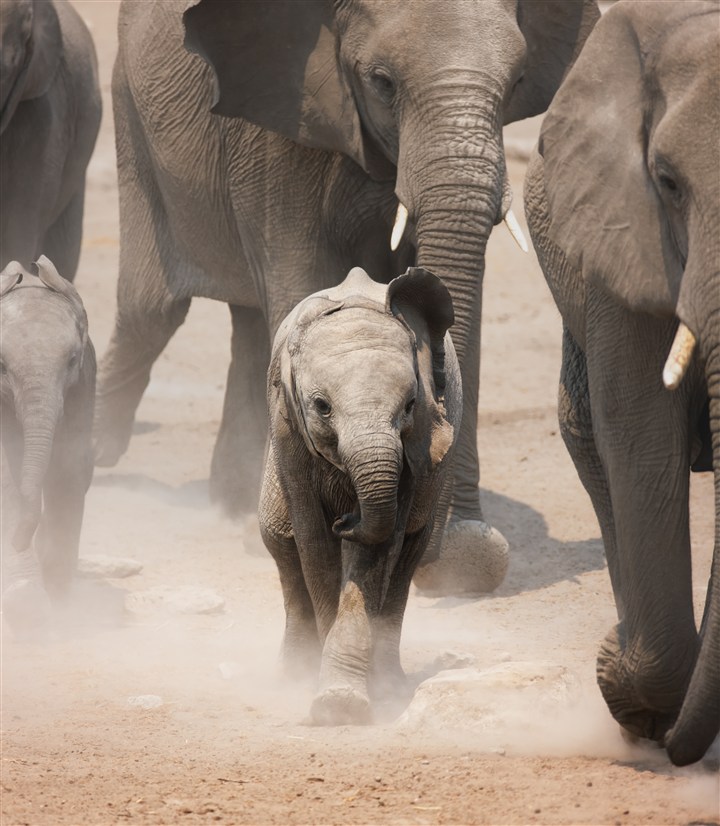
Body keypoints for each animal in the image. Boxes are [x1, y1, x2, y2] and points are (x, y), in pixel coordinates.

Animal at [0, 258, 95, 632]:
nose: (19, 540)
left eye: (71, 360)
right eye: (1, 366)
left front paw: (60, 601)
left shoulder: (83, 384)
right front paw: (27, 604)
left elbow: (70, 465)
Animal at [95, 0, 600, 592]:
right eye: (382, 82)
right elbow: (302, 282)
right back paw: (98, 461)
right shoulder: (277, 129)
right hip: (130, 112)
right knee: (152, 310)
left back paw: (232, 505)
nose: (457, 558)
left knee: (245, 324)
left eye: (517, 80)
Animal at [260, 266, 462, 720]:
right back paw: (291, 677)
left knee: (406, 558)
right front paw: (330, 697)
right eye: (321, 406)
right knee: (279, 542)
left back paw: (390, 684)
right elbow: (315, 547)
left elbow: (375, 553)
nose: (346, 518)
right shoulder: (287, 428)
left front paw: (342, 704)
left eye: (409, 405)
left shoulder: (414, 448)